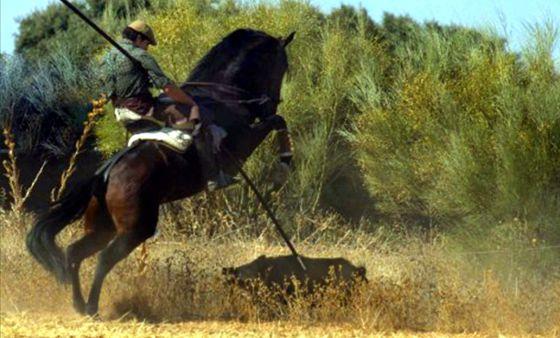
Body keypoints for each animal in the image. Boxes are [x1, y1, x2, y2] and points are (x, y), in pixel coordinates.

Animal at [25, 29, 298, 316]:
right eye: (282, 66)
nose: (269, 104)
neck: (222, 96)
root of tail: (103, 176)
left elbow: (276, 121)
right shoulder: (243, 144)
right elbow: (277, 121)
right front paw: (283, 164)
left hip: (103, 227)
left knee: (74, 253)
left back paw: (80, 305)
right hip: (136, 228)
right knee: (103, 259)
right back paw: (92, 306)